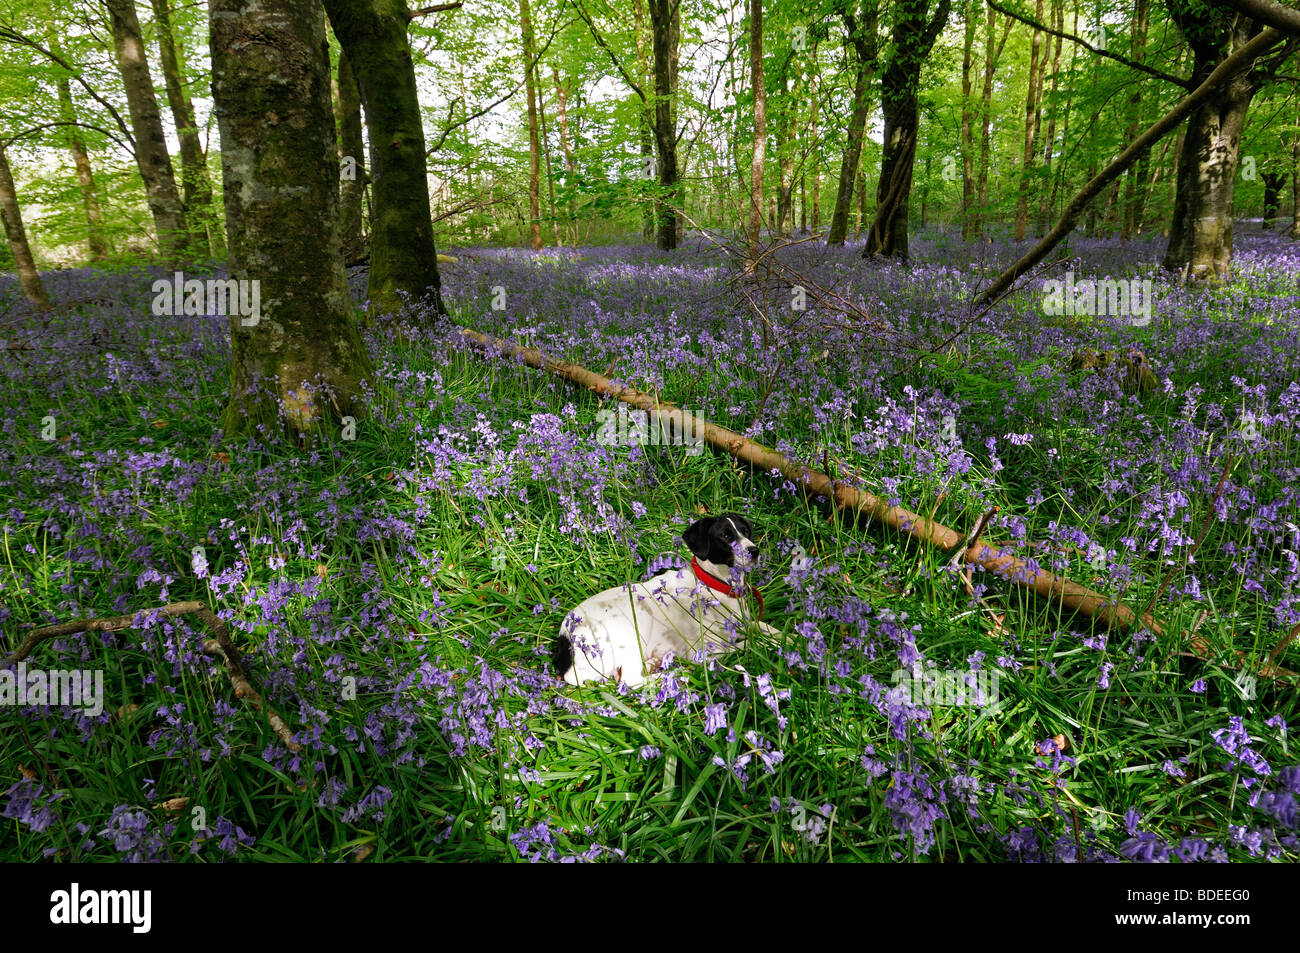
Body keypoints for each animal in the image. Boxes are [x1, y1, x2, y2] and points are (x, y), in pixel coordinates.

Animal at [548, 512, 769, 686]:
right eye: (725, 535)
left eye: (746, 532)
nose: (754, 550)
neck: (716, 585)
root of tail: (566, 639)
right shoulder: (707, 650)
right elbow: (749, 645)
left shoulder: (746, 623)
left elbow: (765, 629)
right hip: (631, 632)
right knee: (629, 680)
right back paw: (672, 674)